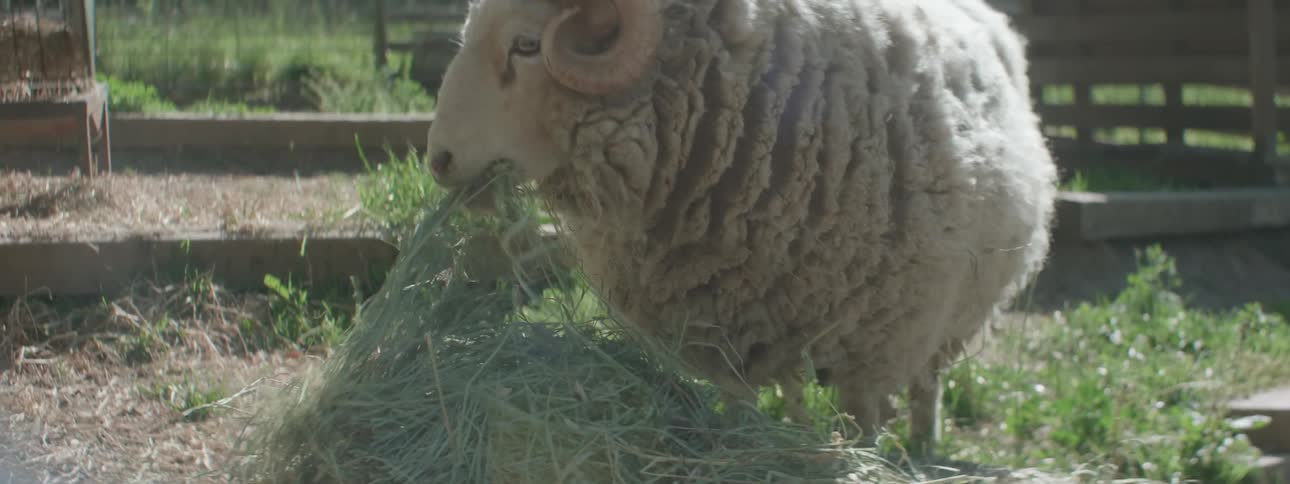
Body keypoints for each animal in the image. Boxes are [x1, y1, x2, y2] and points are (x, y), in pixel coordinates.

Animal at [424, 0, 1058, 455]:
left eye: (527, 45)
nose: (439, 160)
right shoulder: (725, 330)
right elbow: (741, 409)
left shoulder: (878, 344)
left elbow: (864, 423)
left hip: (950, 315)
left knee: (928, 383)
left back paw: (924, 449)